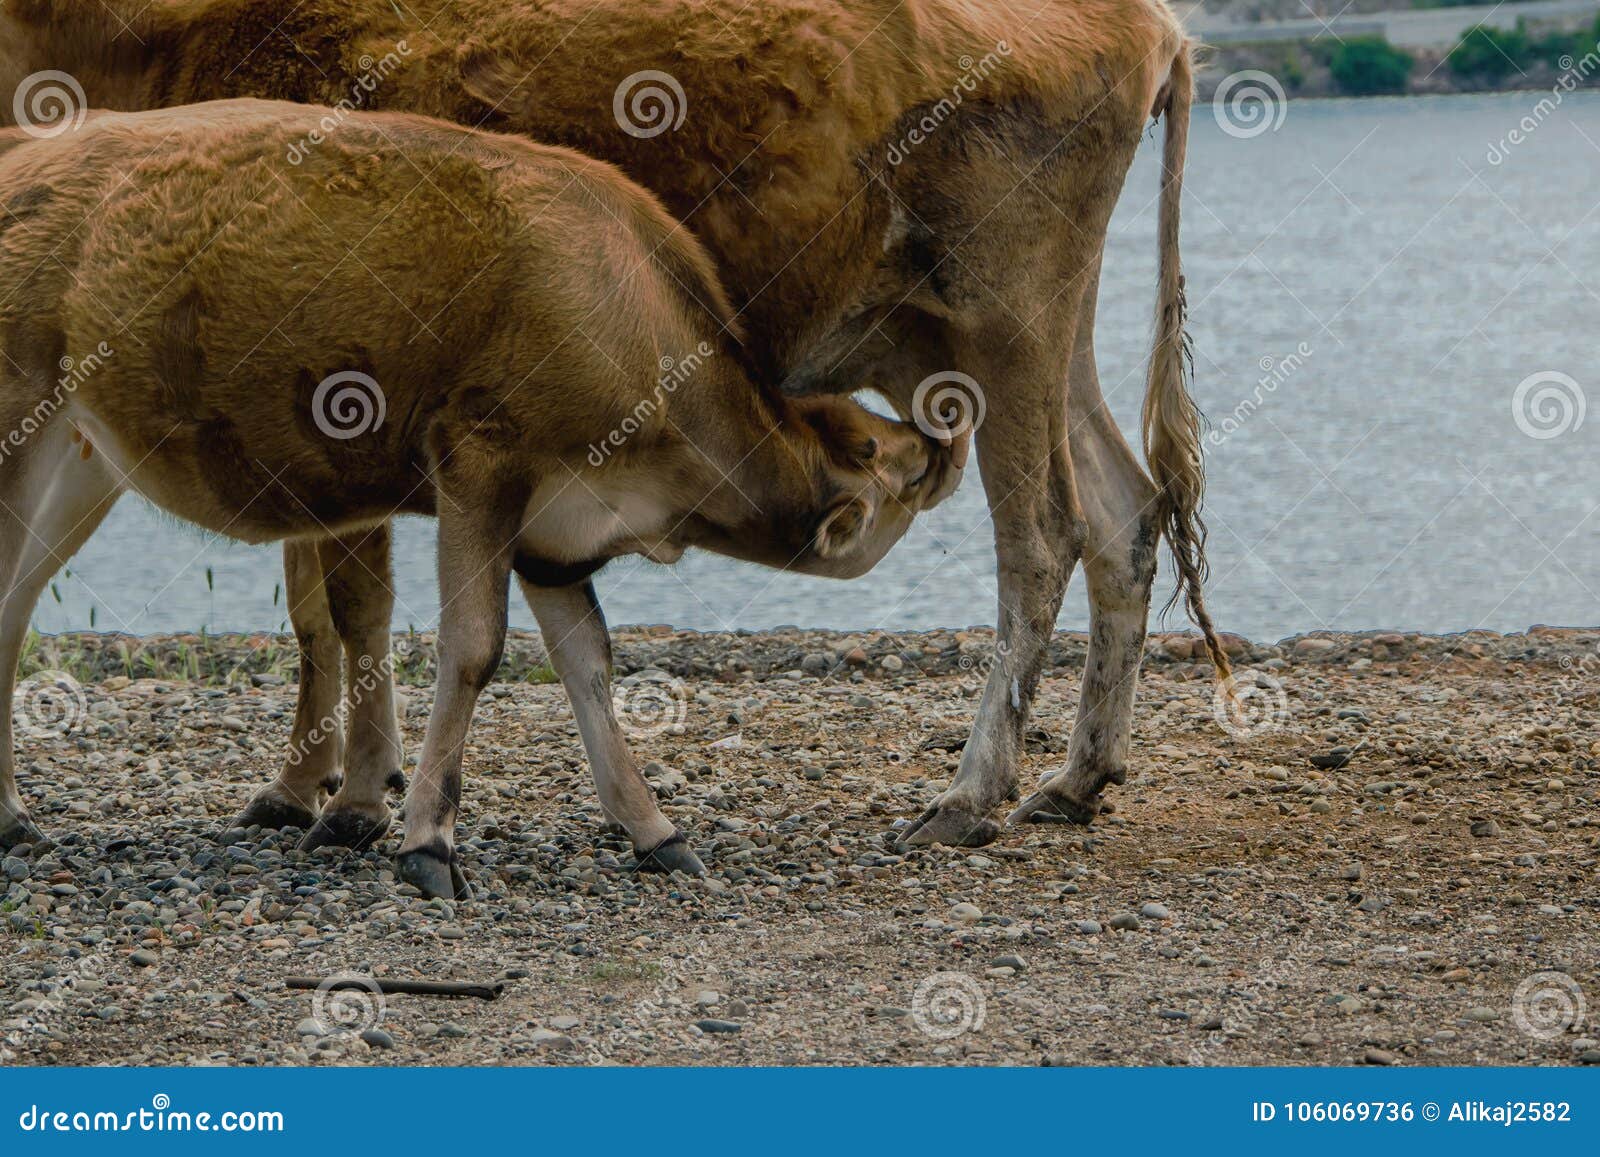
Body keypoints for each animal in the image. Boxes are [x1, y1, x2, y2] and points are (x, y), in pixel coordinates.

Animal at [0, 0, 1230, 857]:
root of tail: (1151, 26)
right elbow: (325, 604)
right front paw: (323, 787)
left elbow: (350, 604)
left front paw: (351, 799)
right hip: (1005, 346)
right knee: (1125, 512)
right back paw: (1076, 778)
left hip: (1003, 326)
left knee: (1042, 537)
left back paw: (970, 796)